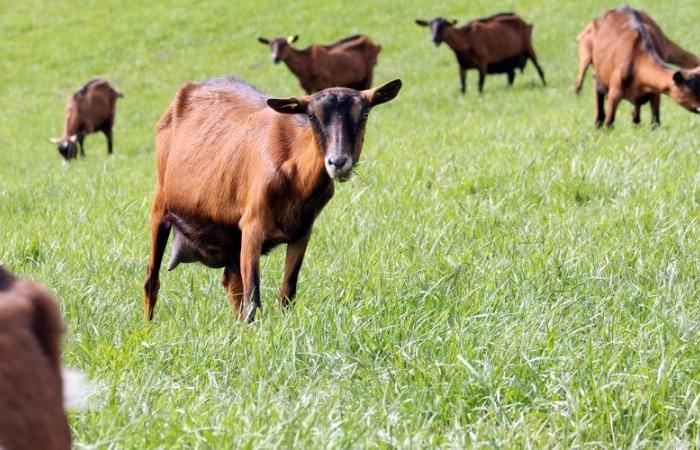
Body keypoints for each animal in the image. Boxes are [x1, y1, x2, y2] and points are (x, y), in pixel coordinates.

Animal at [142, 74, 400, 320]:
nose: (337, 162)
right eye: (312, 116)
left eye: (364, 114)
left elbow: (287, 294)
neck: (294, 171)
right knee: (151, 281)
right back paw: (147, 329)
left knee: (231, 283)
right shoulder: (252, 226)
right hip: (161, 207)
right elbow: (253, 301)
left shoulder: (301, 232)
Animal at [416, 12, 548, 93]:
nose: (435, 39)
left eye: (445, 25)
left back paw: (545, 85)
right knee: (511, 76)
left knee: (540, 69)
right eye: (430, 26)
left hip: (529, 47)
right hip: (509, 59)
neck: (465, 39)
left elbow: (480, 85)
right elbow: (463, 86)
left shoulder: (483, 63)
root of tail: (521, 19)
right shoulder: (462, 66)